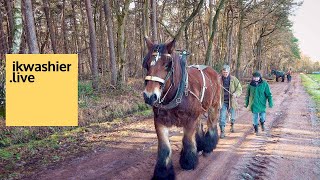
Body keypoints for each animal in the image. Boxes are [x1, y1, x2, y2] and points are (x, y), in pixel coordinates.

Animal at [143, 37, 221, 179]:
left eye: (167, 65)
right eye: (146, 65)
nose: (149, 96)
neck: (176, 93)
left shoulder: (190, 120)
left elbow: (187, 140)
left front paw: (188, 162)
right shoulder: (159, 122)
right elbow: (164, 148)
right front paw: (162, 173)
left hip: (214, 105)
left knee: (211, 123)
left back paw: (208, 146)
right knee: (200, 125)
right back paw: (200, 145)